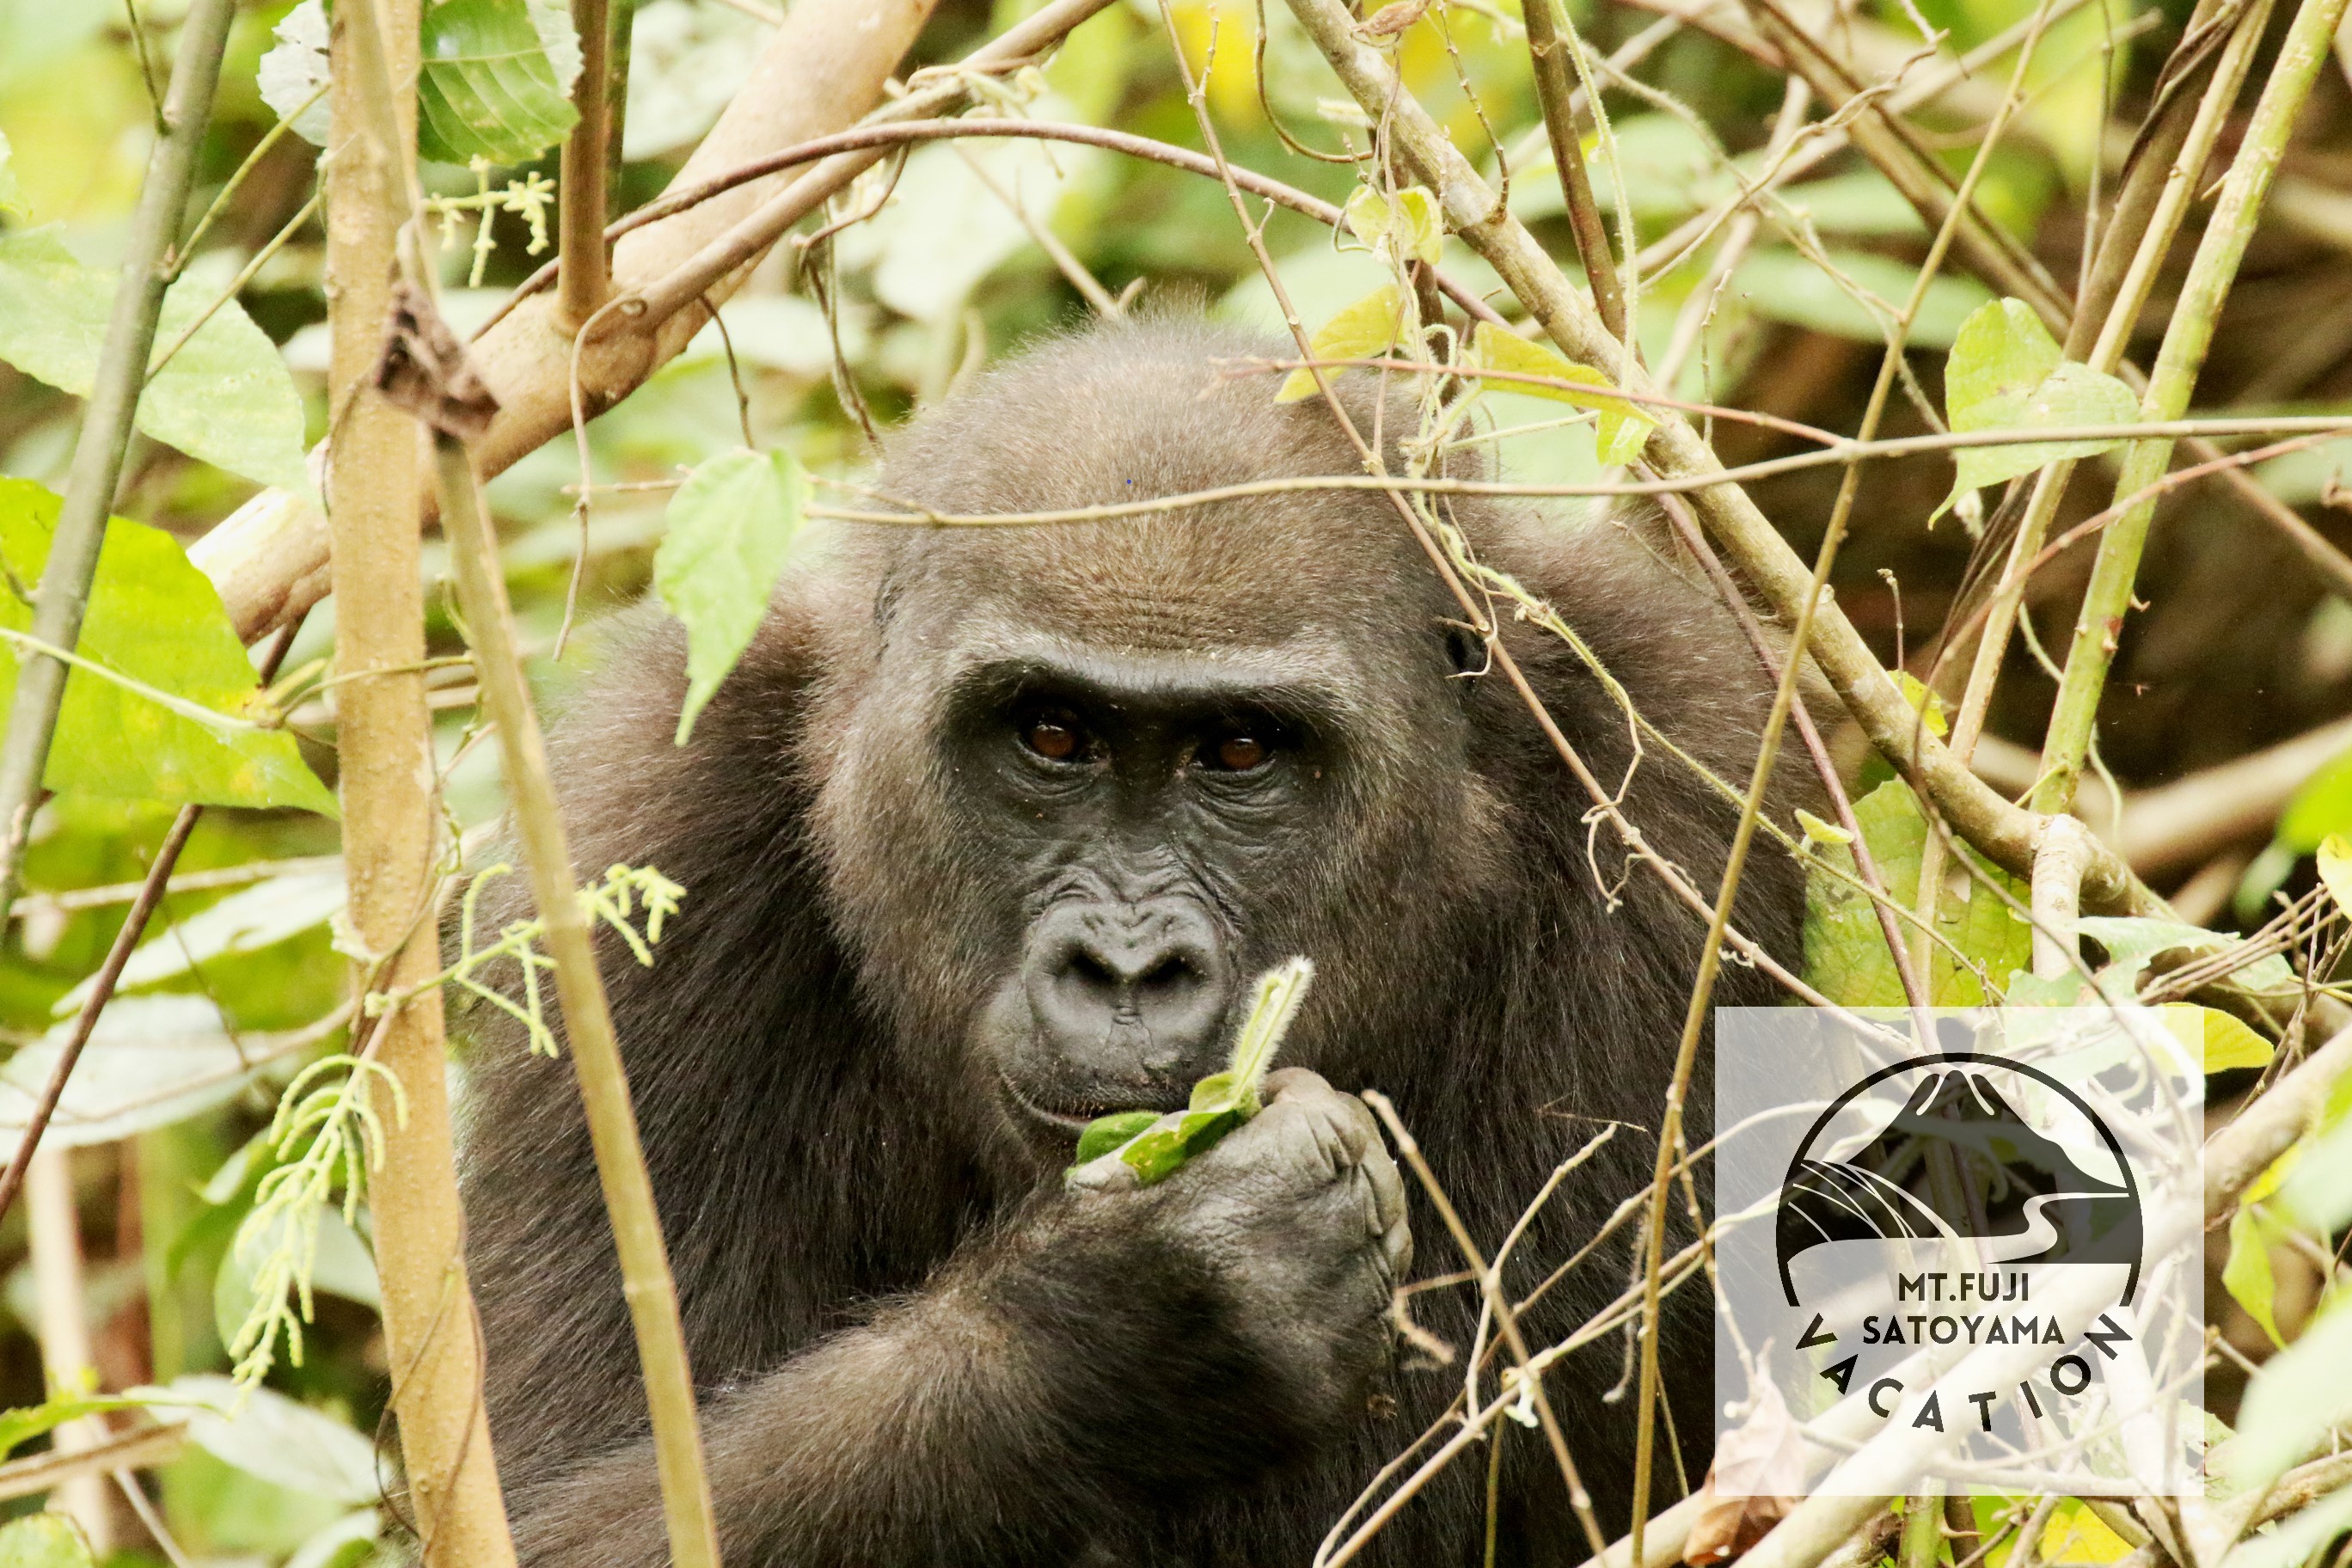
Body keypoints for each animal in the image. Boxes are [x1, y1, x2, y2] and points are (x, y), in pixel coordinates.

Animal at [462, 312, 1816, 1560]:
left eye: (1242, 751)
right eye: (1052, 735)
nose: (1124, 970)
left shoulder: (1686, 802)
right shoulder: (647, 822)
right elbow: (546, 1514)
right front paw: (1129, 1322)